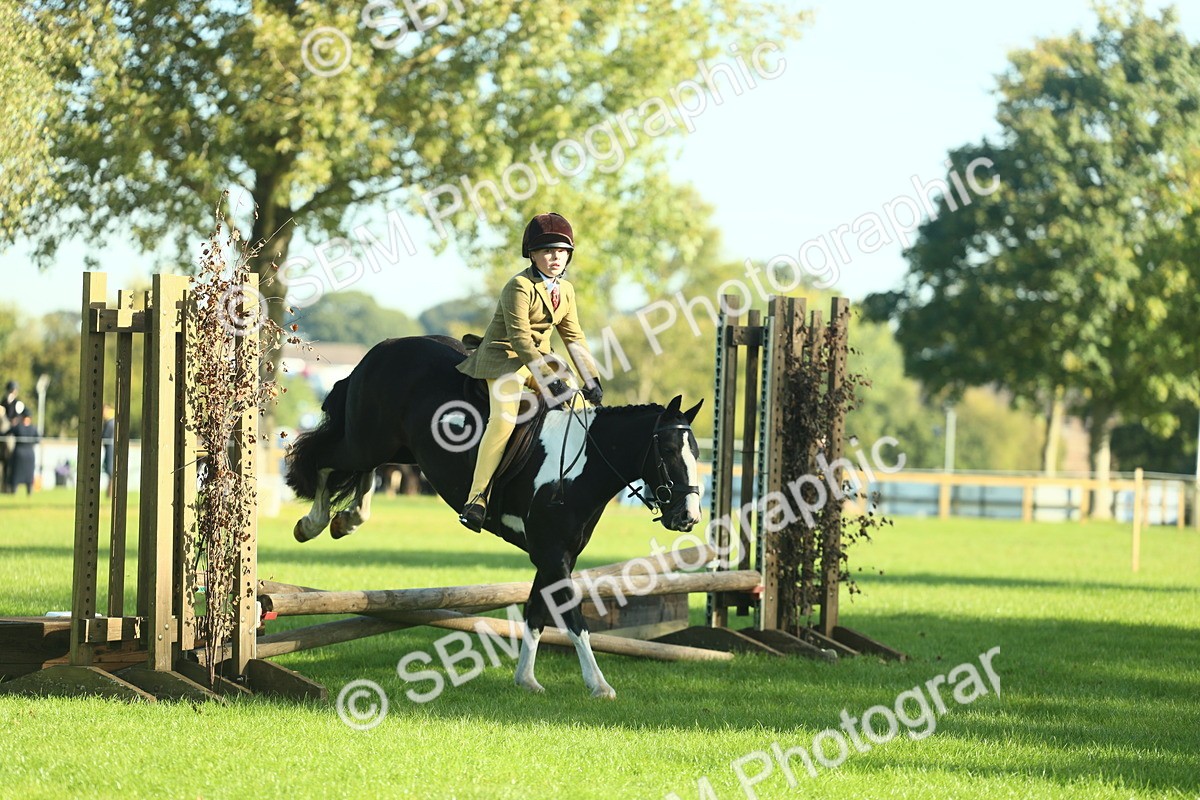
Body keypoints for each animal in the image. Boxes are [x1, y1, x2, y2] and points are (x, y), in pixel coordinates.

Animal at [283, 335, 704, 698]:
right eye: (668, 450)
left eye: (697, 452)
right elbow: (572, 617)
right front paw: (598, 685)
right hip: (366, 439)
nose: (688, 517)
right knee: (324, 461)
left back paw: (348, 518)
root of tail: (382, 349)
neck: (581, 462)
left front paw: (527, 679)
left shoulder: (556, 557)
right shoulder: (553, 555)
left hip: (395, 447)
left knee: (363, 470)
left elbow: (537, 612)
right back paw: (312, 523)